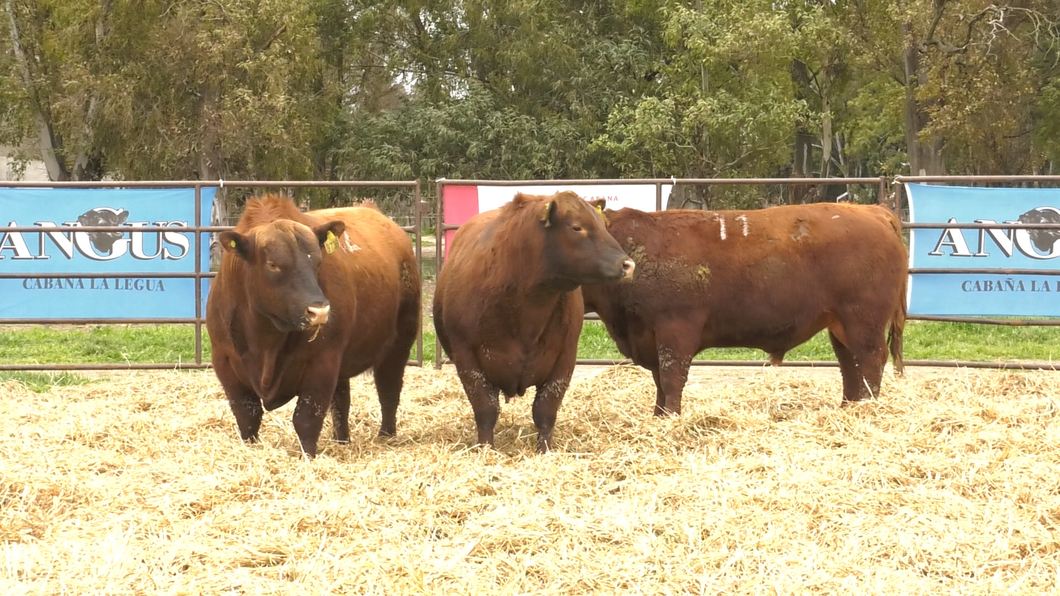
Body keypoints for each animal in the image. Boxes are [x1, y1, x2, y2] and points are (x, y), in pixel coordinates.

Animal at [204, 195, 419, 453]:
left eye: (317, 262)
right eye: (273, 264)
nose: (319, 311)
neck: (266, 339)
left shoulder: (322, 361)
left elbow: (306, 418)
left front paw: (307, 455)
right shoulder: (224, 361)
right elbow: (247, 416)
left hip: (398, 344)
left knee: (388, 391)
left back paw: (386, 435)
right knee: (342, 402)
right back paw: (341, 440)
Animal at [434, 189, 631, 449]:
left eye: (604, 224)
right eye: (576, 227)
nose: (627, 264)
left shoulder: (565, 358)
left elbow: (545, 409)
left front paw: (544, 449)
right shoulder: (467, 358)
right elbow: (486, 409)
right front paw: (486, 449)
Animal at [585, 200, 907, 413]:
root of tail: (872, 210)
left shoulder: (674, 332)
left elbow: (672, 381)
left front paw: (671, 418)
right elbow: (660, 386)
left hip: (863, 322)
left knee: (870, 362)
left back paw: (866, 410)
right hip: (839, 325)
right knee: (850, 367)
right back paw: (848, 409)